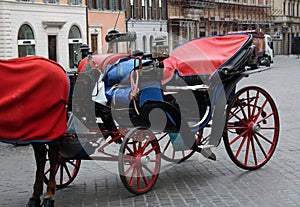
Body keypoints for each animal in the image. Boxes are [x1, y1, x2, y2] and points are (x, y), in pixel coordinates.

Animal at [0, 55, 69, 206]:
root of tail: (57, 66)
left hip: (51, 125)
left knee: (54, 157)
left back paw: (49, 196)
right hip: (37, 129)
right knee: (42, 157)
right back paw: (35, 196)